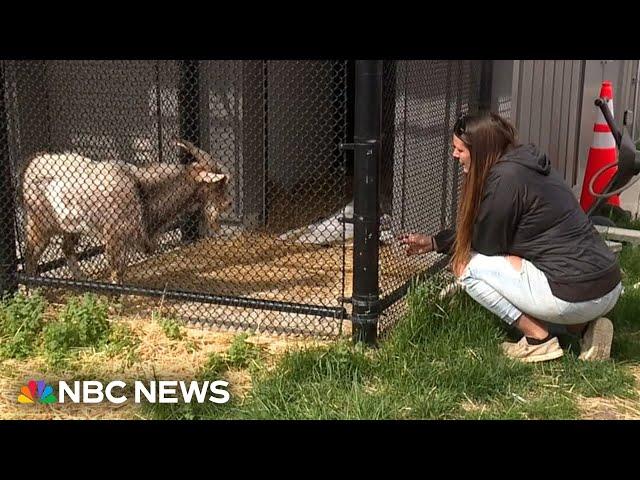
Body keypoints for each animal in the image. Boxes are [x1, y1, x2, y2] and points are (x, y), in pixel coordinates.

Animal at [21, 138, 231, 282]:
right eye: (219, 184)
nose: (228, 204)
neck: (142, 190)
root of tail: (32, 164)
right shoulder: (114, 236)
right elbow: (116, 270)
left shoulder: (127, 239)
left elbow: (122, 270)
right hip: (39, 224)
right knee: (30, 256)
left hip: (70, 227)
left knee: (66, 248)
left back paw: (82, 281)